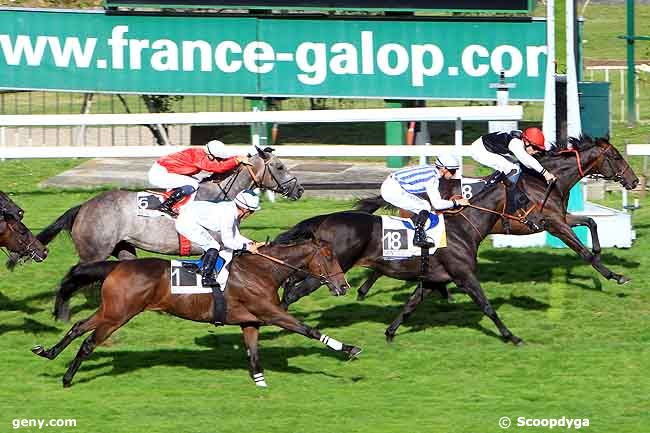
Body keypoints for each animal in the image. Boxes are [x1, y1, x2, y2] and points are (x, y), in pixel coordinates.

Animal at [31, 238, 360, 386]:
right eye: (329, 257)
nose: (343, 286)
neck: (262, 270)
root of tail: (117, 266)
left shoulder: (250, 322)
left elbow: (253, 353)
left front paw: (260, 384)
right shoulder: (271, 313)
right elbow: (309, 329)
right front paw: (349, 348)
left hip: (110, 310)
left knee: (77, 327)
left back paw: (48, 352)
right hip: (118, 315)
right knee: (88, 342)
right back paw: (67, 378)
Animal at [276, 135, 636, 340]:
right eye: (617, 157)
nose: (634, 181)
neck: (544, 181)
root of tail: (324, 220)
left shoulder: (557, 218)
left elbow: (591, 221)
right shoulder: (550, 222)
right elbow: (581, 249)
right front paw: (612, 274)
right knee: (295, 288)